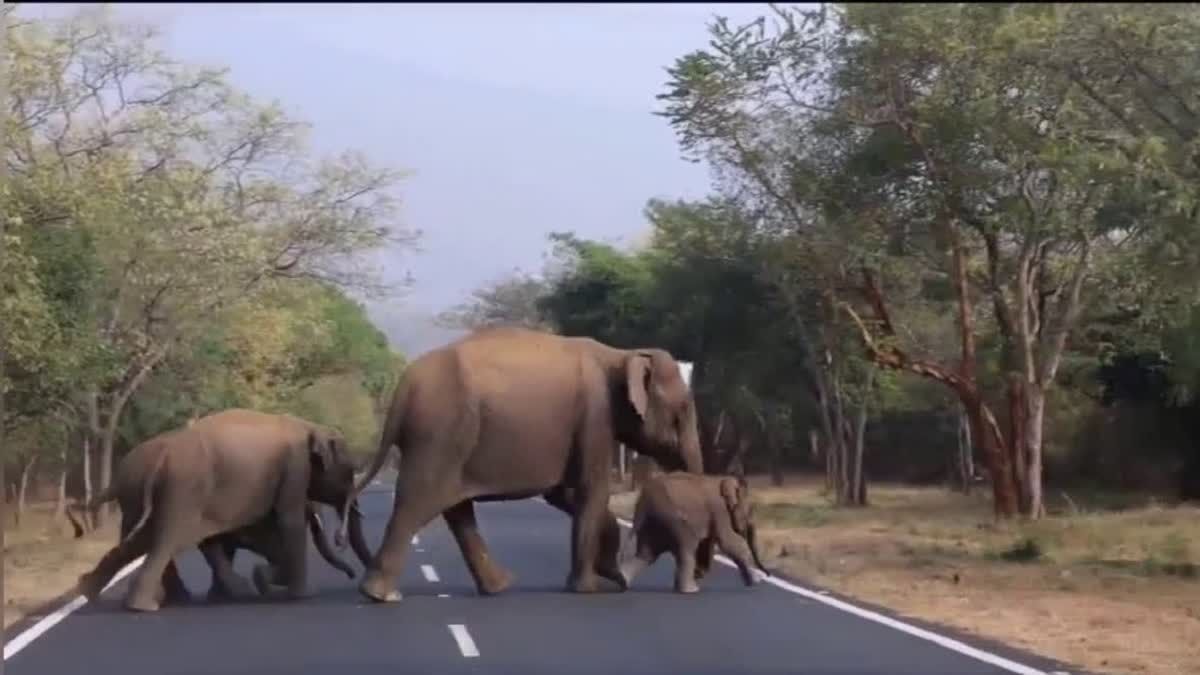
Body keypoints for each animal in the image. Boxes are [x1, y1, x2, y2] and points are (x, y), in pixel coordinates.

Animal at [66, 409, 373, 612]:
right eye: (349, 472)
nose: (353, 576)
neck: (310, 425)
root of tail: (162, 457)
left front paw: (256, 583)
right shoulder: (295, 468)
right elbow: (289, 521)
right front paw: (302, 595)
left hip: (149, 496)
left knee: (139, 541)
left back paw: (89, 591)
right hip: (183, 491)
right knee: (166, 540)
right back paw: (144, 606)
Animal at [338, 326, 704, 604]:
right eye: (683, 410)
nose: (698, 580)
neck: (621, 354)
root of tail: (403, 388)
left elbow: (565, 495)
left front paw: (611, 577)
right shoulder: (595, 416)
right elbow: (591, 490)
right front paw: (589, 589)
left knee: (454, 508)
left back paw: (497, 587)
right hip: (440, 434)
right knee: (418, 502)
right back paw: (381, 595)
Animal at [619, 472, 769, 593]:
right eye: (750, 512)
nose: (768, 574)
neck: (723, 479)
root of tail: (642, 504)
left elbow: (709, 542)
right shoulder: (720, 511)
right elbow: (729, 543)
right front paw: (755, 581)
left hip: (652, 524)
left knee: (646, 555)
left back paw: (622, 582)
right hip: (673, 520)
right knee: (686, 549)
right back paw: (691, 590)